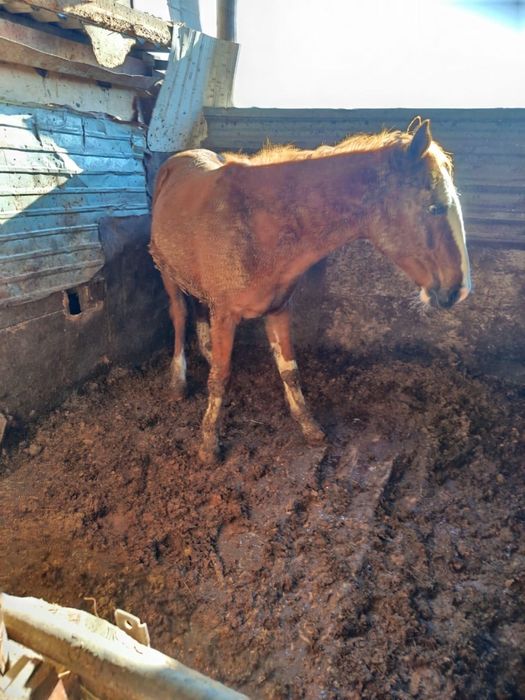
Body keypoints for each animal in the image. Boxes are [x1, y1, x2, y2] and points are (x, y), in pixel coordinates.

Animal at [150, 117, 471, 464]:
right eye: (435, 208)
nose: (460, 290)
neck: (258, 225)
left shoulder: (278, 309)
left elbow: (289, 371)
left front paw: (309, 426)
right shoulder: (225, 314)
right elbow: (220, 378)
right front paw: (209, 443)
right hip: (166, 273)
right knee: (180, 315)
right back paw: (178, 380)